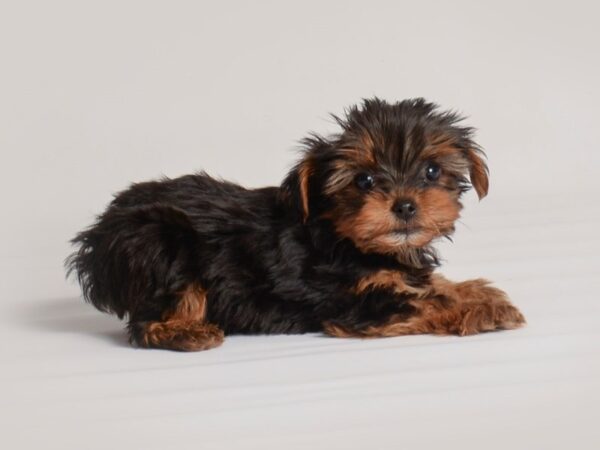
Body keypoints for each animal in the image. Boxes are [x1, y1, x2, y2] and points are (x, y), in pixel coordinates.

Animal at [67, 98, 524, 352]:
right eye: (364, 181)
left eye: (431, 171)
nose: (406, 206)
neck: (344, 236)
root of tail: (96, 239)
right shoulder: (351, 304)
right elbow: (423, 303)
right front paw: (487, 310)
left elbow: (427, 286)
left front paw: (476, 290)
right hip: (160, 243)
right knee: (146, 323)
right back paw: (189, 333)